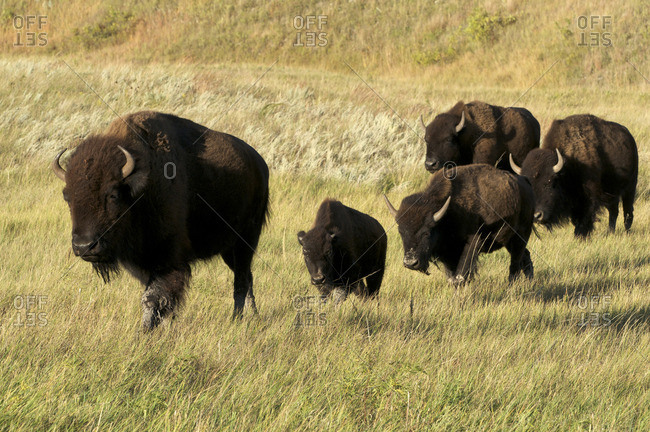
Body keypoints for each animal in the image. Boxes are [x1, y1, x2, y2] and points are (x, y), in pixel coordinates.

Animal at [52, 111, 269, 330]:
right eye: (67, 197)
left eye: (113, 195)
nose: (84, 246)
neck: (142, 188)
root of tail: (260, 164)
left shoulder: (168, 259)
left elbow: (154, 297)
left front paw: (145, 331)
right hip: (228, 250)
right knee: (247, 277)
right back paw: (253, 315)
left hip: (245, 242)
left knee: (240, 280)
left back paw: (237, 318)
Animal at [384, 164, 535, 284]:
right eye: (401, 232)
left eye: (426, 232)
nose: (410, 263)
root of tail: (524, 182)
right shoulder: (448, 254)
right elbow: (452, 277)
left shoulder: (472, 243)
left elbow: (460, 276)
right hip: (510, 241)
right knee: (525, 258)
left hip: (521, 237)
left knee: (515, 265)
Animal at [509, 114, 638, 237]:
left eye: (550, 182)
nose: (536, 215)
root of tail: (629, 137)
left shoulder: (588, 199)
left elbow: (584, 219)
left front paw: (580, 235)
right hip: (611, 193)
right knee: (614, 211)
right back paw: (610, 232)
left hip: (630, 188)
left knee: (627, 212)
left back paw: (627, 232)